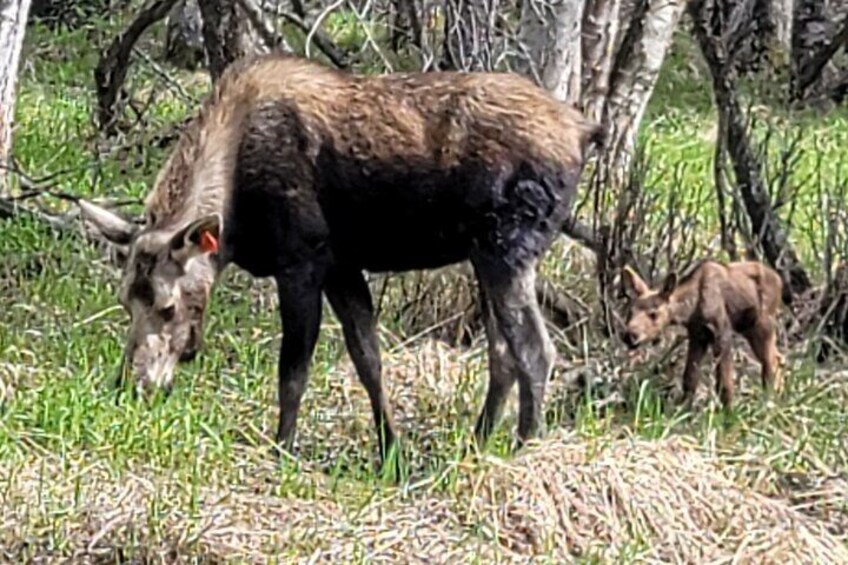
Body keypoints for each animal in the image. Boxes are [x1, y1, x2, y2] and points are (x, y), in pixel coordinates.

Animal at [621, 259, 789, 410]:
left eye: (653, 314)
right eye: (630, 311)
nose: (630, 336)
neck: (691, 310)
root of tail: (780, 281)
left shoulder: (722, 331)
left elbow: (724, 383)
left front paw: (729, 416)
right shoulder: (697, 335)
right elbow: (689, 378)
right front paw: (683, 412)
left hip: (763, 324)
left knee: (770, 362)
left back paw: (768, 403)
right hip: (749, 328)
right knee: (778, 357)